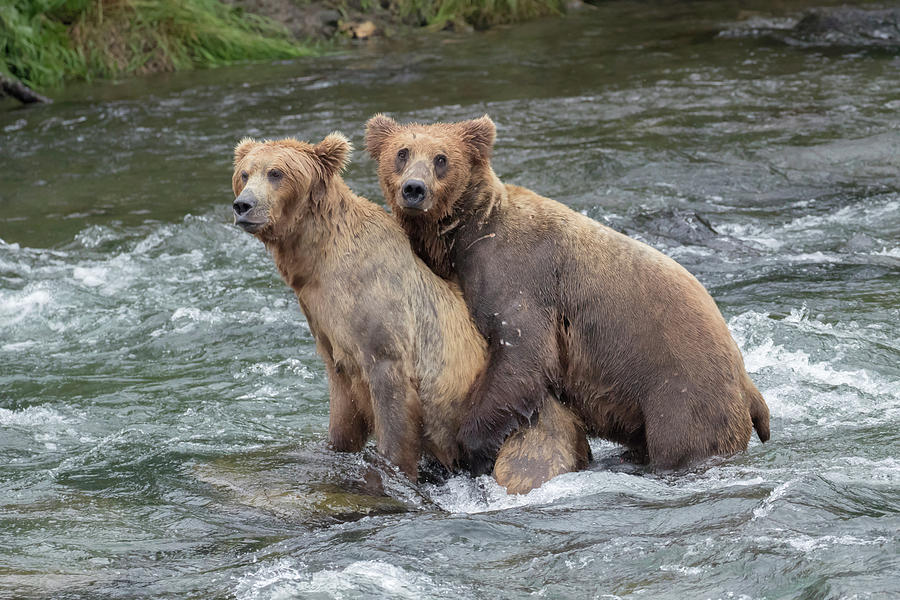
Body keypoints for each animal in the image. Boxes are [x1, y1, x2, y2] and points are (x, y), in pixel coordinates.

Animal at [230, 135, 592, 492]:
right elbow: (343, 414)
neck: (318, 262)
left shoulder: (383, 322)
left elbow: (394, 405)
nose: (243, 205)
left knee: (522, 469)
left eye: (276, 173)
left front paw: (392, 469)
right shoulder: (328, 332)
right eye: (245, 174)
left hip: (530, 433)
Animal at [362, 115, 768, 476]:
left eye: (441, 158)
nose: (414, 189)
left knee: (681, 443)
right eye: (402, 152)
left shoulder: (520, 276)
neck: (464, 238)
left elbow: (522, 354)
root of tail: (749, 386)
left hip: (682, 391)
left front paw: (471, 443)